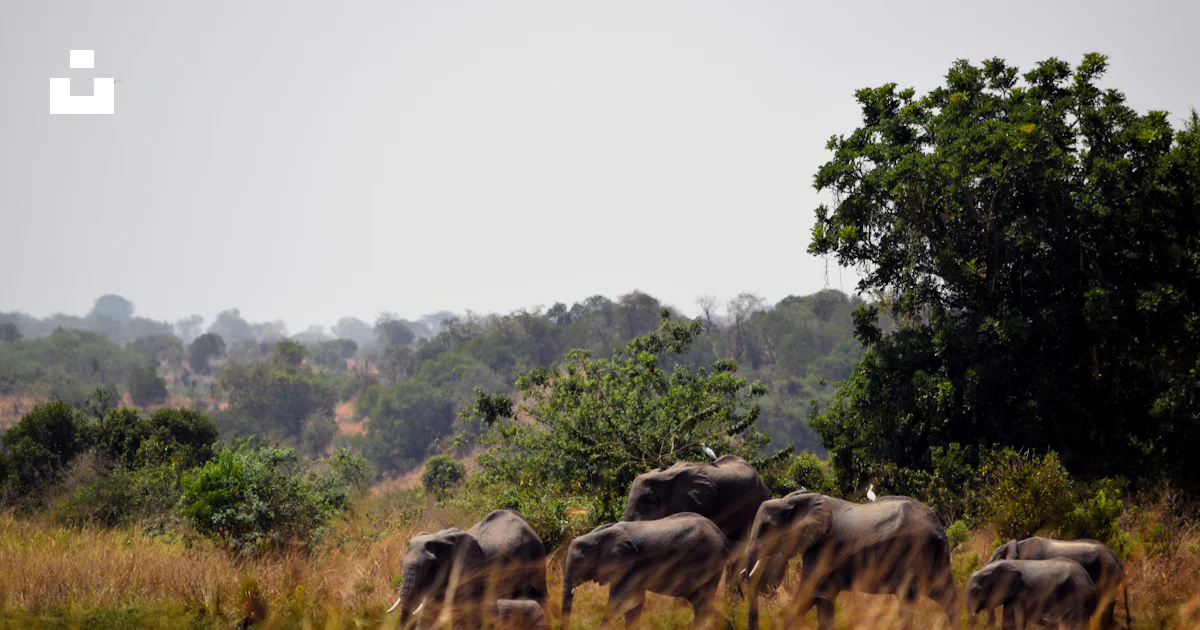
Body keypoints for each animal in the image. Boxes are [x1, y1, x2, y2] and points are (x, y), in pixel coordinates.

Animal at [561, 512, 731, 630]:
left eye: (578, 561)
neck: (598, 534)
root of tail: (723, 537)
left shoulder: (629, 566)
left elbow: (619, 603)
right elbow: (633, 604)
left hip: (708, 559)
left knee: (701, 602)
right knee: (700, 602)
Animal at [741, 492, 958, 630]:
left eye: (765, 528)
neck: (795, 499)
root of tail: (938, 527)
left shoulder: (823, 549)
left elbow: (810, 595)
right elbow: (823, 599)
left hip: (914, 549)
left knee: (908, 598)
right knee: (945, 594)